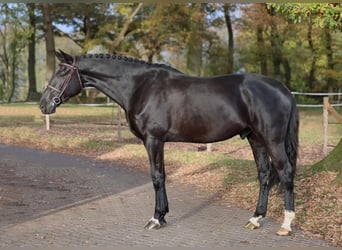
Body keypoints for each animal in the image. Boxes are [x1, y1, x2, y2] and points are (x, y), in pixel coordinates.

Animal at [40, 51, 298, 236]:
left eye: (62, 72)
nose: (44, 104)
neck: (140, 86)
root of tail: (284, 89)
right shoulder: (158, 141)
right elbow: (161, 176)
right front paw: (162, 216)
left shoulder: (153, 139)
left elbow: (157, 177)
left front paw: (156, 218)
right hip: (256, 139)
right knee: (264, 175)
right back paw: (255, 218)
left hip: (272, 140)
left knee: (285, 172)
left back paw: (286, 224)